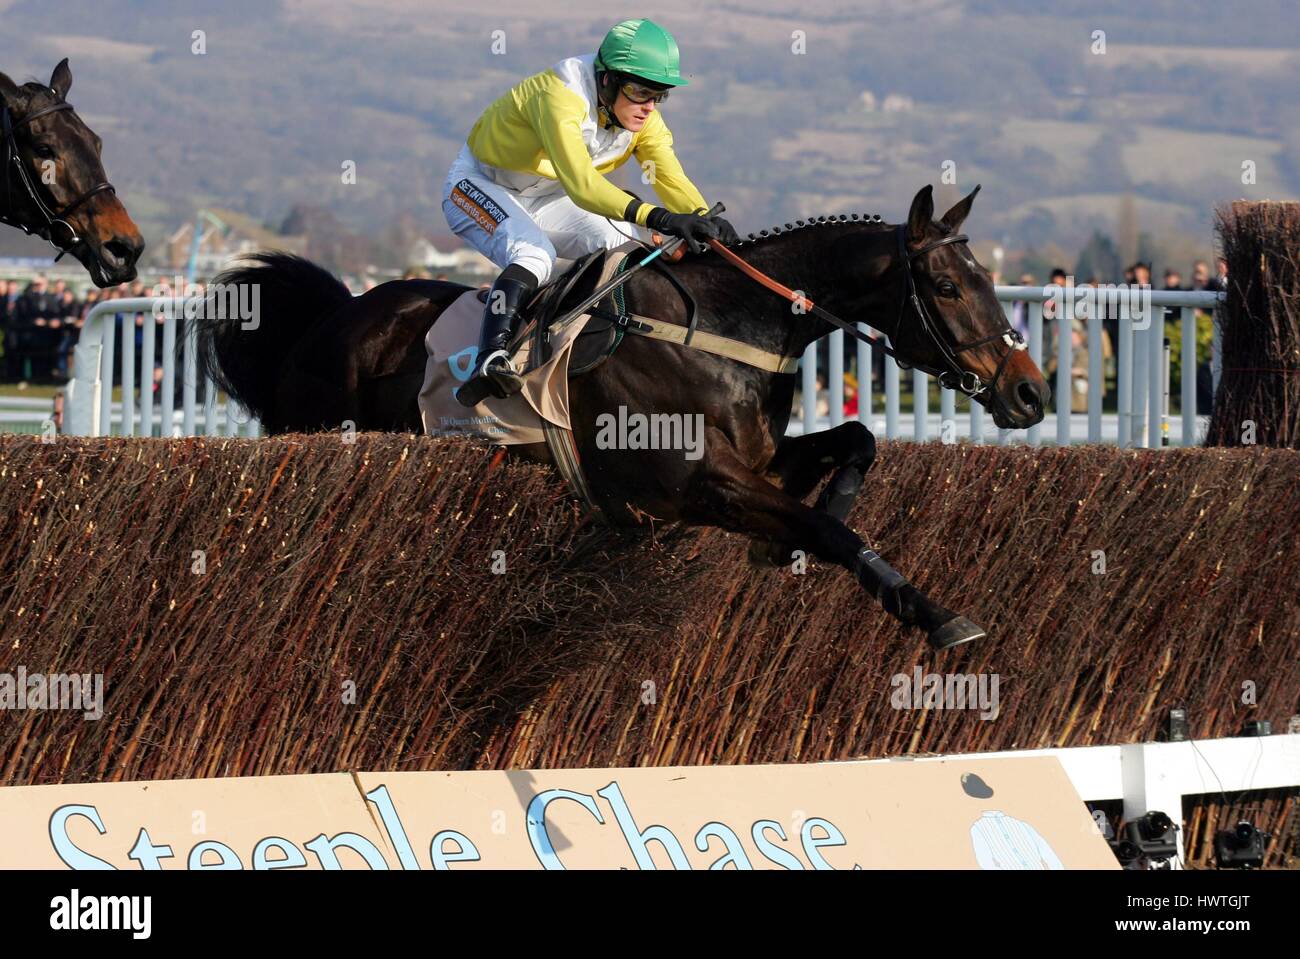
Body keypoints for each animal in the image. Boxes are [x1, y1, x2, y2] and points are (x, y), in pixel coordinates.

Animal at [197, 184, 1045, 649]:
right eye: (946, 284)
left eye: (987, 277)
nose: (1030, 392)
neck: (725, 326)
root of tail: (330, 316)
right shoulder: (699, 485)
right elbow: (829, 531)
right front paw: (936, 613)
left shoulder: (757, 459)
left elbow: (857, 441)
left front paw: (810, 524)